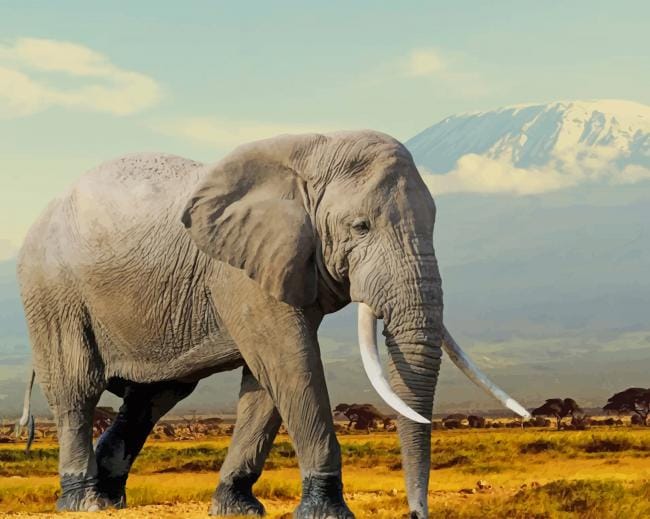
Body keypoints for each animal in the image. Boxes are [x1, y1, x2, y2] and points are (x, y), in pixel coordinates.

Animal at [16, 130, 529, 518]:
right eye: (360, 227)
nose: (415, 514)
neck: (313, 150)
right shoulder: (240, 270)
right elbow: (290, 360)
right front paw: (327, 513)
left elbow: (266, 381)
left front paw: (236, 508)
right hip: (52, 291)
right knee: (78, 389)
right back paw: (83, 503)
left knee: (154, 396)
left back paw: (110, 498)